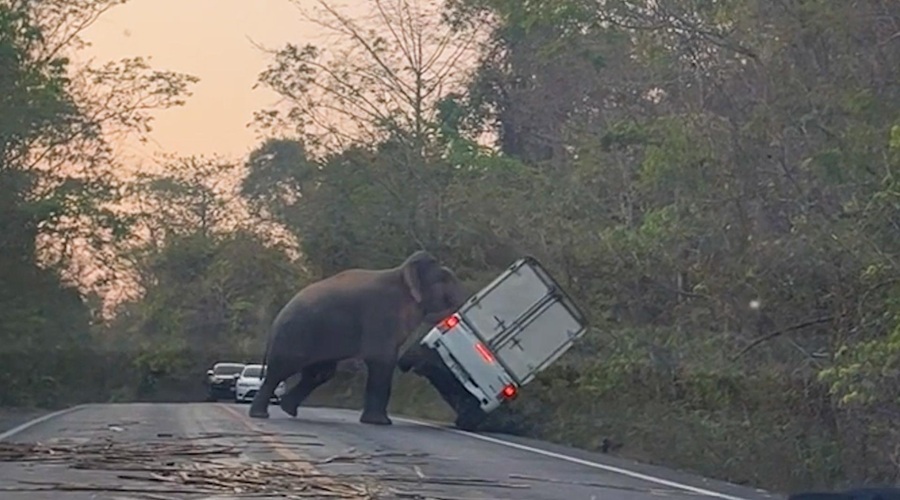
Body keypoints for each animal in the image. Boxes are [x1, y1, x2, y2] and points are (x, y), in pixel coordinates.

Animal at [248, 252, 468, 424]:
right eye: (444, 278)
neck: (401, 272)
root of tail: (276, 320)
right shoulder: (381, 314)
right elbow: (382, 359)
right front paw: (380, 423)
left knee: (320, 373)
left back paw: (288, 409)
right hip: (294, 336)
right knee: (280, 371)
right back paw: (260, 415)